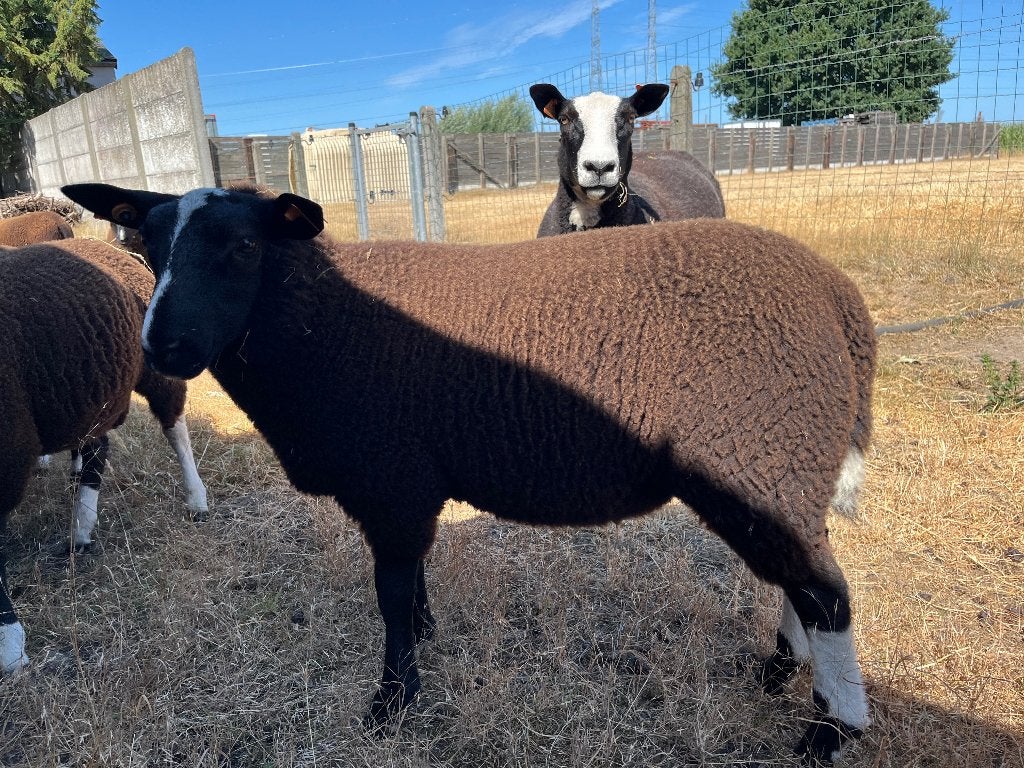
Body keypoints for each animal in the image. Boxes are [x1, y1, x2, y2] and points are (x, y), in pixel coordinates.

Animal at [0, 238, 209, 673]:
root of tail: (105, 245)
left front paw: (10, 647)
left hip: (155, 370)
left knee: (175, 428)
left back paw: (196, 499)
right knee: (96, 448)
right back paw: (81, 519)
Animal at [63, 181, 876, 765]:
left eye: (240, 246)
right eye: (145, 245)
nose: (162, 346)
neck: (318, 321)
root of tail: (839, 299)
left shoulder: (390, 477)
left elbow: (391, 595)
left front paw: (392, 702)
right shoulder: (407, 485)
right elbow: (411, 583)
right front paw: (425, 641)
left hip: (758, 447)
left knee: (828, 593)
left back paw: (831, 731)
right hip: (779, 462)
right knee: (803, 576)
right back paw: (780, 669)